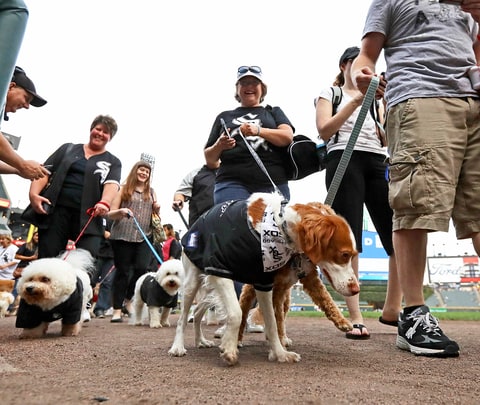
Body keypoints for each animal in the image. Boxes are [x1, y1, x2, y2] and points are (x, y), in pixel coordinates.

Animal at [167, 191, 358, 364]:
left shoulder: (264, 282)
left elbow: (273, 322)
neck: (279, 227)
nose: (356, 289)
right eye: (345, 254)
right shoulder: (219, 270)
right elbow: (236, 313)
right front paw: (229, 349)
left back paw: (200, 341)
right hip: (192, 281)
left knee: (198, 311)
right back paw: (177, 347)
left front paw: (280, 354)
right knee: (183, 318)